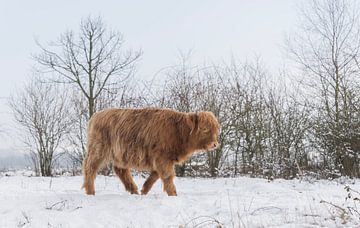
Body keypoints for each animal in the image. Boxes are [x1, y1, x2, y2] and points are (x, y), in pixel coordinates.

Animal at [82, 107, 219, 196]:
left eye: (215, 129)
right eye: (205, 129)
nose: (215, 144)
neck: (178, 132)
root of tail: (96, 115)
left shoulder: (161, 159)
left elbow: (155, 175)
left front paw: (144, 190)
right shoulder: (162, 158)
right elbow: (167, 175)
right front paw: (173, 194)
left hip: (120, 153)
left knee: (120, 170)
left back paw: (134, 190)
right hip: (98, 150)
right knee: (90, 168)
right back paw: (90, 192)